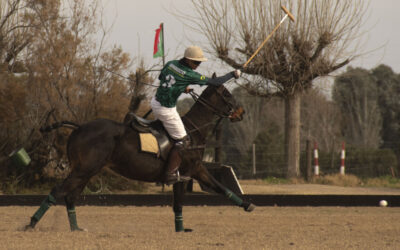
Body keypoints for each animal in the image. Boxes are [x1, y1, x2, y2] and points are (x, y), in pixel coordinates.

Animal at [25, 84, 256, 232]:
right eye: (226, 94)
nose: (242, 112)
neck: (192, 130)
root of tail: (80, 127)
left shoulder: (196, 169)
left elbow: (221, 188)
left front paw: (247, 205)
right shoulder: (183, 173)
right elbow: (179, 204)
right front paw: (181, 230)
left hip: (86, 171)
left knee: (70, 197)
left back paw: (76, 228)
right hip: (84, 170)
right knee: (58, 191)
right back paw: (31, 223)